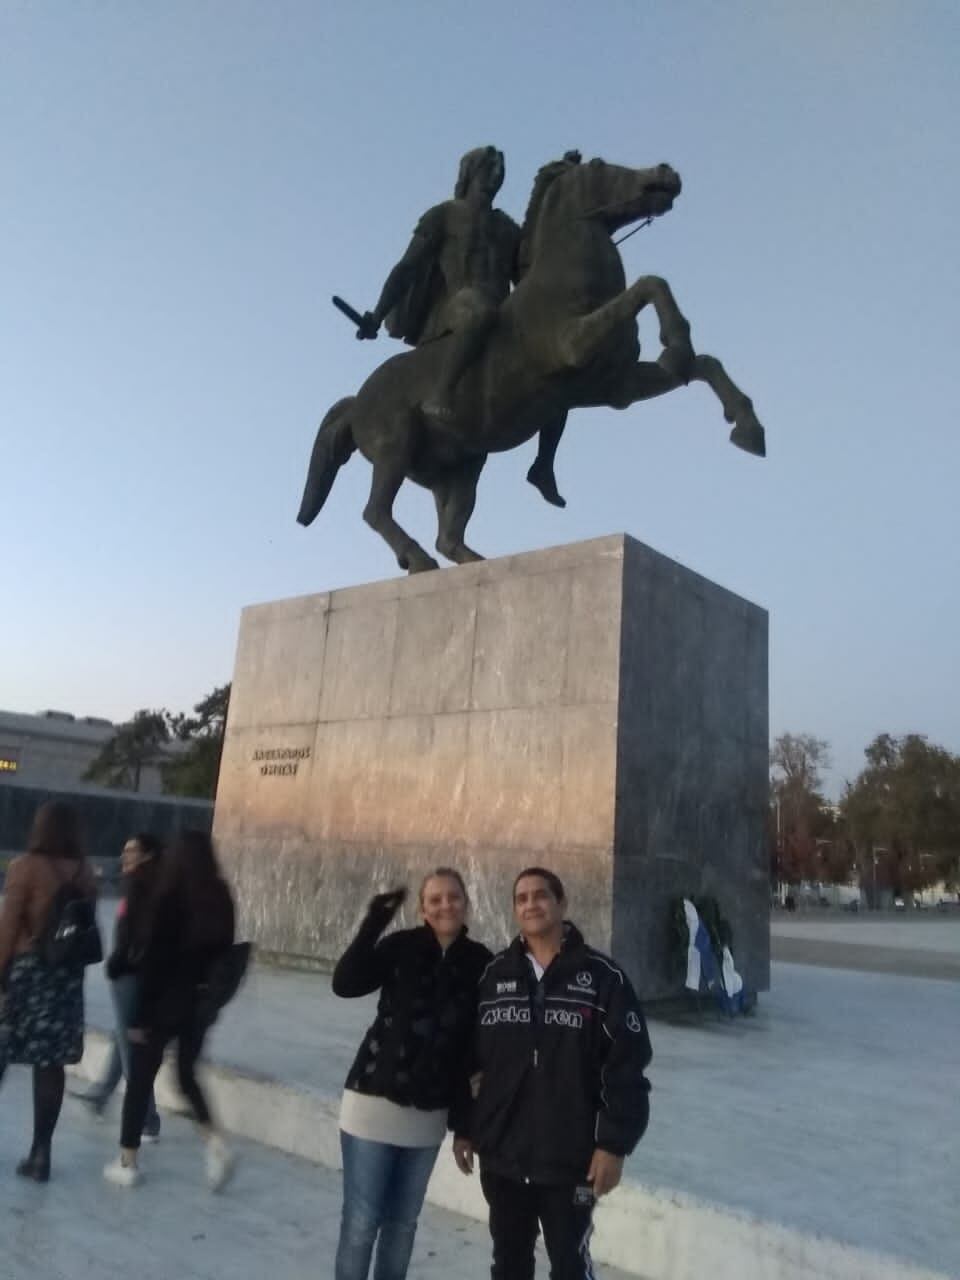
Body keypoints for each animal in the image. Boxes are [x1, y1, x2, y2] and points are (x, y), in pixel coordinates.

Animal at [300, 152, 768, 573]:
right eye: (599, 165)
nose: (666, 172)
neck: (564, 280)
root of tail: (358, 400)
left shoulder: (615, 386)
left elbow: (704, 364)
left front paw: (747, 427)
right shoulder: (574, 343)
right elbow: (649, 285)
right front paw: (676, 341)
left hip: (461, 468)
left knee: (448, 535)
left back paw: (474, 558)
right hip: (396, 447)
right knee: (376, 511)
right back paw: (417, 557)